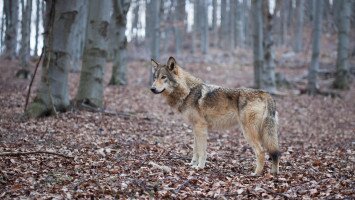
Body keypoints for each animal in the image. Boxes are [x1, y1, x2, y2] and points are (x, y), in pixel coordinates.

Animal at [150, 57, 280, 175]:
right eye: (155, 77)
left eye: (163, 77)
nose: (152, 88)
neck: (188, 91)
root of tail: (265, 93)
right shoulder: (195, 128)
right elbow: (195, 149)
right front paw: (192, 164)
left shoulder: (201, 127)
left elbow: (202, 151)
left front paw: (199, 167)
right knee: (274, 152)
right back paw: (274, 173)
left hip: (248, 133)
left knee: (261, 152)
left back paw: (256, 173)